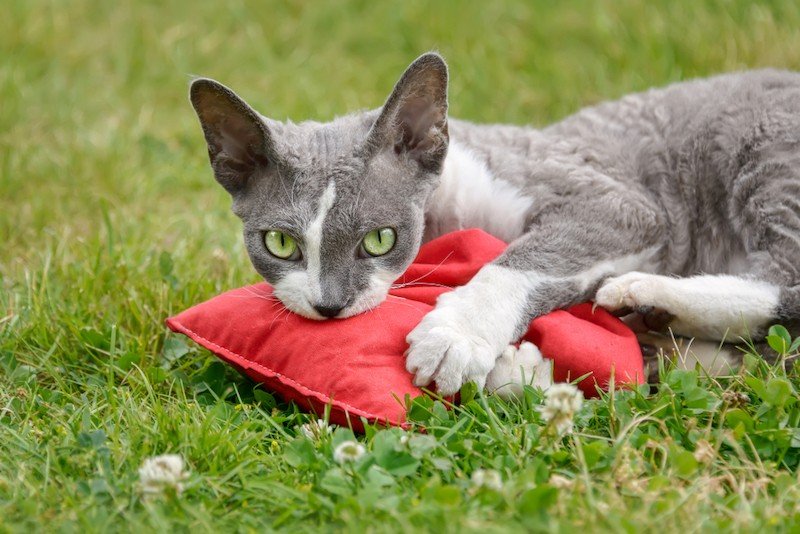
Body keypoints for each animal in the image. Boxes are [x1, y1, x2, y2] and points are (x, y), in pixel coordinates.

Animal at [189, 53, 800, 398]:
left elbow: (522, 261)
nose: (329, 305)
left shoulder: (620, 203)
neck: (450, 214)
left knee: (785, 278)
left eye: (379, 239)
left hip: (763, 146)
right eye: (280, 243)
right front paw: (523, 370)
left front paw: (456, 336)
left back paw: (648, 294)